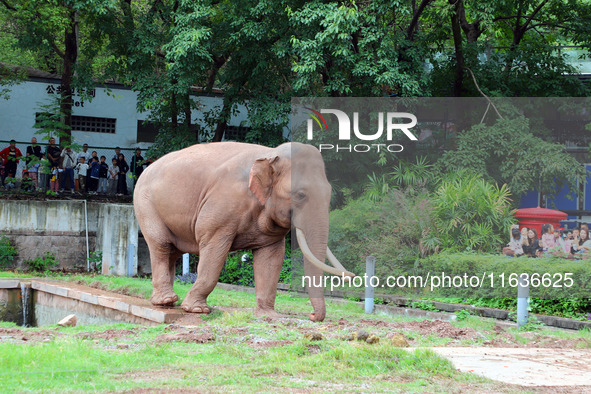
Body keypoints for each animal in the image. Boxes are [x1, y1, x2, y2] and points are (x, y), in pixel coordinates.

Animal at [134, 142, 354, 324]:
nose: (312, 315)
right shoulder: (220, 209)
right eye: (300, 195)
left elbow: (272, 258)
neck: (270, 154)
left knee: (172, 252)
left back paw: (166, 304)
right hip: (145, 206)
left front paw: (269, 315)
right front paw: (197, 310)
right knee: (161, 245)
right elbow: (213, 251)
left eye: (330, 193)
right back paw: (167, 301)